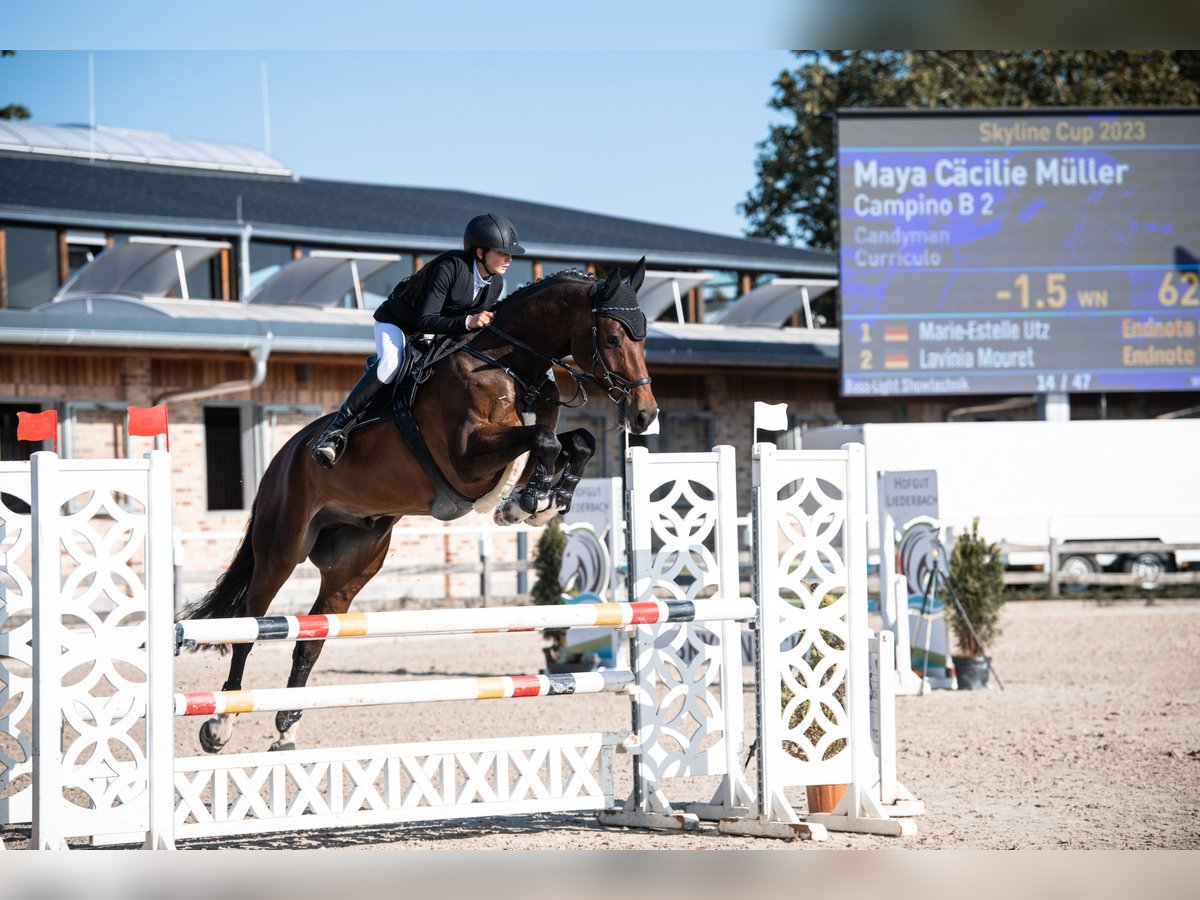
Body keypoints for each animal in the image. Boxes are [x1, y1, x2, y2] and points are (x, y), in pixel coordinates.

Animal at [182, 255, 662, 753]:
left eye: (644, 336)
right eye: (612, 338)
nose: (644, 415)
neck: (508, 366)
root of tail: (282, 459)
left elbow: (578, 441)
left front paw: (547, 500)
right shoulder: (467, 461)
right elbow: (544, 441)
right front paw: (527, 501)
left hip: (353, 565)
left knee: (311, 639)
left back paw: (287, 727)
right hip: (281, 549)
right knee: (248, 627)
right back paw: (220, 723)